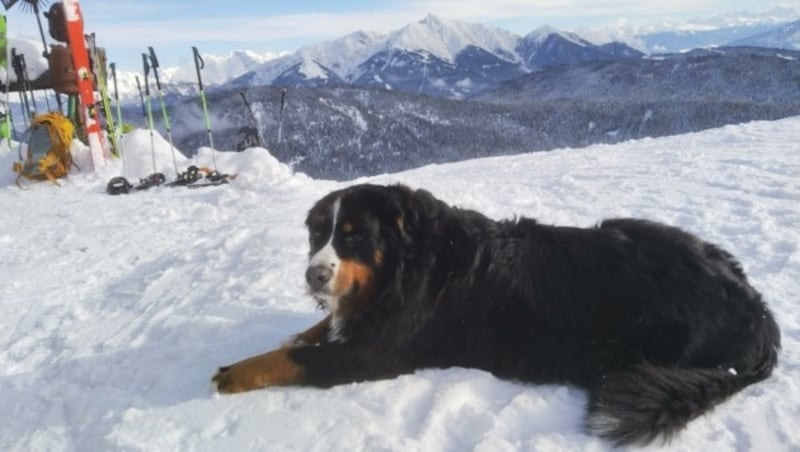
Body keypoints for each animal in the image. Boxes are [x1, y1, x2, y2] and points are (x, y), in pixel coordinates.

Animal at [212, 183, 780, 444]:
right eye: (317, 235)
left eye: (353, 237)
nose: (314, 275)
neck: (407, 260)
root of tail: (757, 311)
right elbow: (316, 331)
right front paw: (302, 330)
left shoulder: (372, 355)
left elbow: (292, 360)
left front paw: (233, 373)